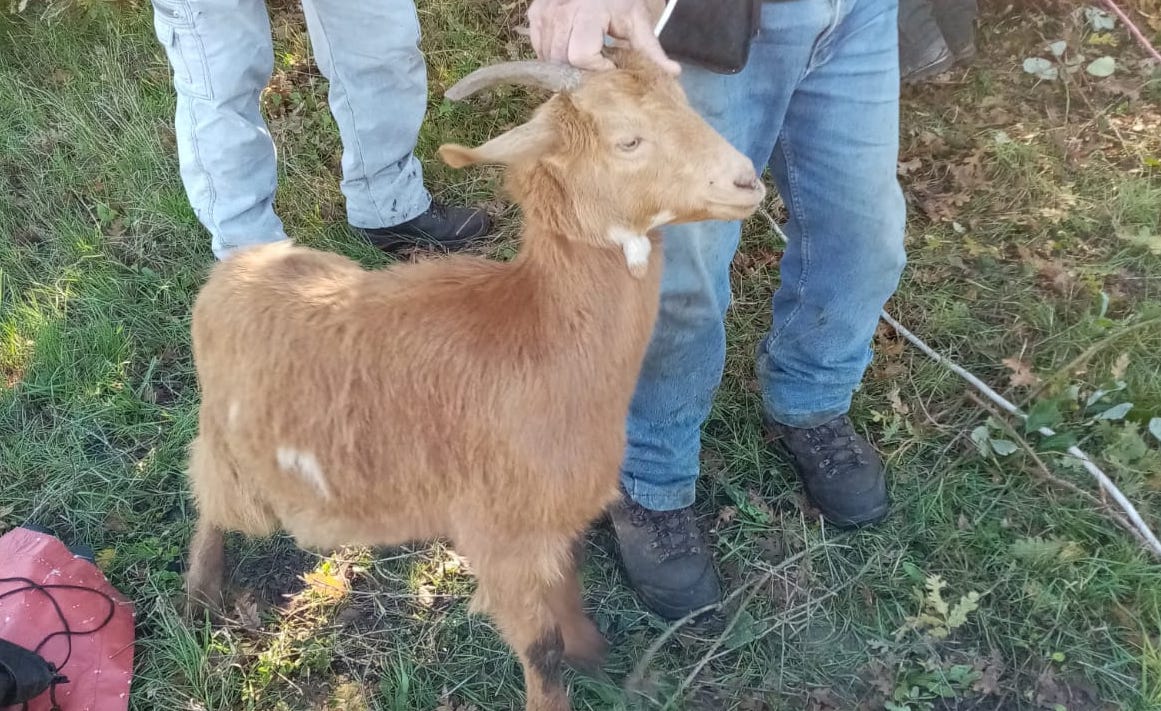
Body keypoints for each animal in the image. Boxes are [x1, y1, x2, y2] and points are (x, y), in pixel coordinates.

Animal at [181, 49, 766, 711]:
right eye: (628, 140)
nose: (747, 181)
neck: (540, 331)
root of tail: (230, 273)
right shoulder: (499, 534)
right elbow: (541, 648)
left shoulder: (550, 520)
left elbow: (567, 590)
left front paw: (594, 656)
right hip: (234, 454)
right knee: (210, 495)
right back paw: (200, 594)